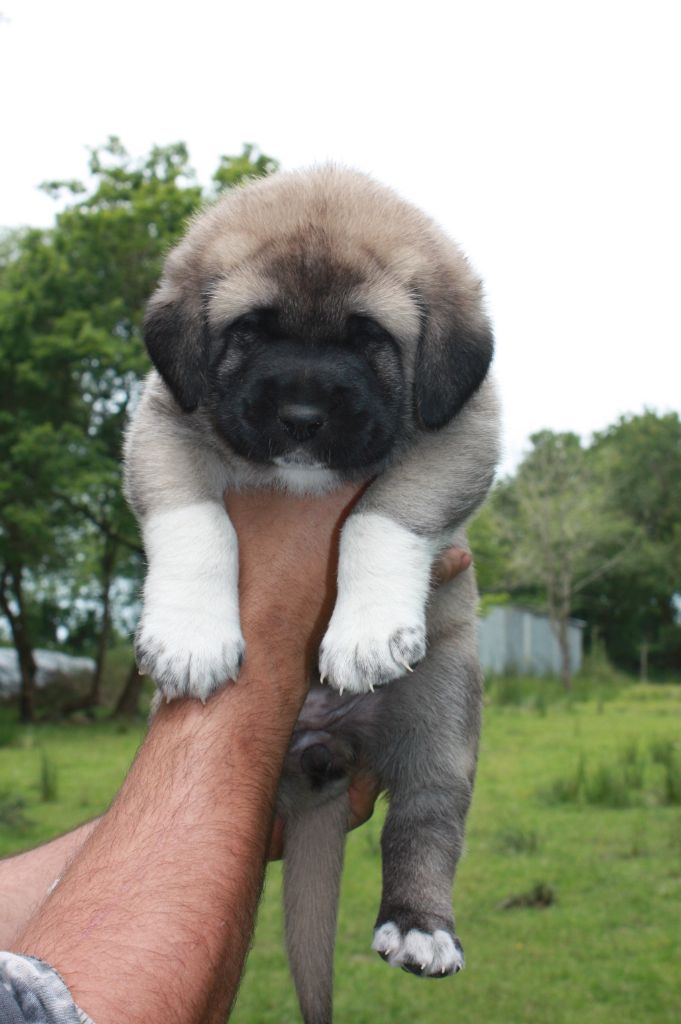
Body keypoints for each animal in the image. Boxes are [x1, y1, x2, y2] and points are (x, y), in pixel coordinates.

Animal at [124, 167, 499, 1024]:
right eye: (251, 331)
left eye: (368, 339)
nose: (302, 417)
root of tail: (326, 746)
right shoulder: (161, 424)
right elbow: (194, 523)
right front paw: (190, 634)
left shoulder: (462, 434)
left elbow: (378, 516)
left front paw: (364, 631)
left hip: (440, 710)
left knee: (426, 819)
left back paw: (420, 924)